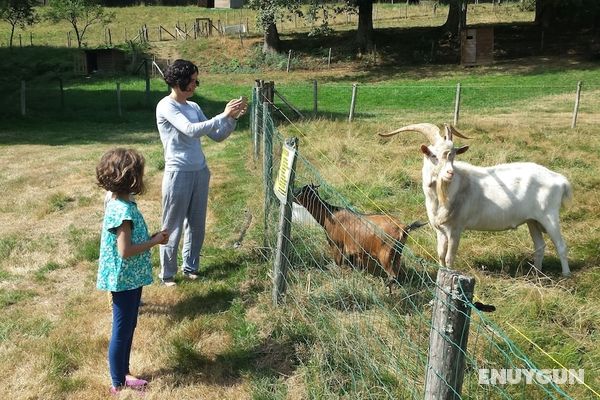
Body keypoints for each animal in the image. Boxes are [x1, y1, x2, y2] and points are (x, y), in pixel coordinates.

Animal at [292, 184, 426, 284]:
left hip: (386, 253)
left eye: (300, 191)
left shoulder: (337, 245)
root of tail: (403, 228)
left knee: (392, 276)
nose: (291, 193)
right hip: (397, 253)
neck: (329, 214)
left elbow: (338, 264)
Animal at [380, 123, 572, 276]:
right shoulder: (440, 230)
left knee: (561, 246)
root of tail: (560, 180)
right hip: (533, 220)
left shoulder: (455, 229)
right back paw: (537, 273)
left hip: (549, 216)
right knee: (540, 246)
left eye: (453, 155)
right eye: (433, 155)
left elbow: (449, 257)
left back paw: (566, 275)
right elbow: (440, 254)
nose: (450, 173)